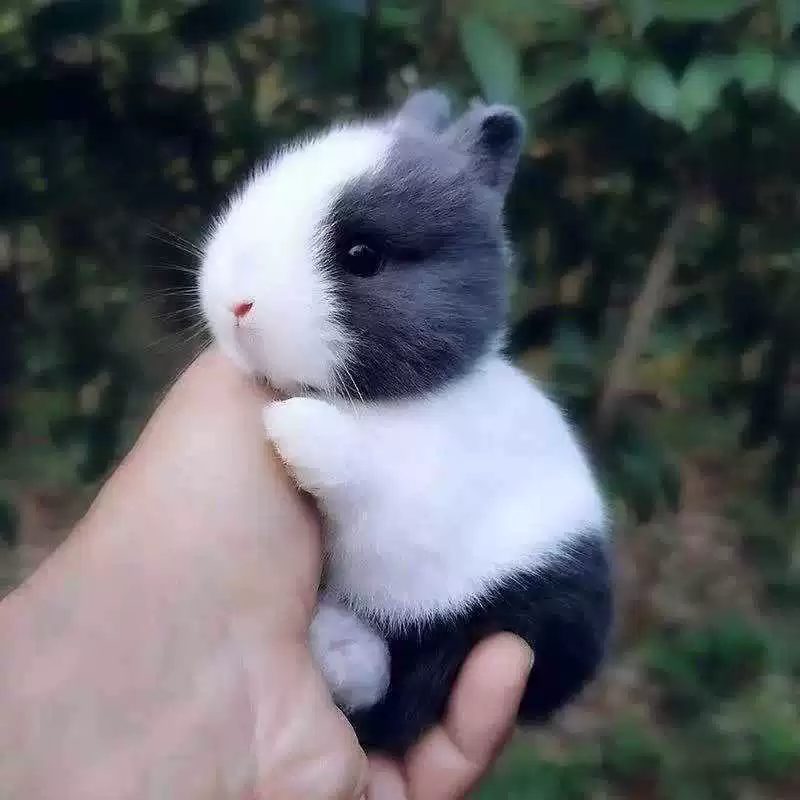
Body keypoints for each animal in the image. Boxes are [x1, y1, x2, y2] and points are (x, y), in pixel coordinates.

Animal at [198, 89, 613, 756]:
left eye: (361, 256)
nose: (235, 304)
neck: (399, 402)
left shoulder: (409, 491)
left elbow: (353, 466)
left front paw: (289, 423)